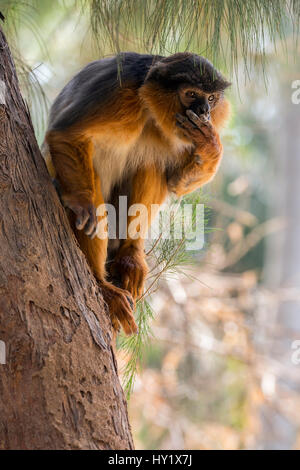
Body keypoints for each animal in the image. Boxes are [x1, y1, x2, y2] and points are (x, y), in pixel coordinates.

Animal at [44, 52, 232, 334]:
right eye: (191, 94)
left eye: (210, 98)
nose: (204, 111)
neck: (148, 108)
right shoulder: (117, 90)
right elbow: (66, 134)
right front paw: (82, 202)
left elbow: (176, 182)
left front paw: (209, 145)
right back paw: (100, 284)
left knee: (151, 164)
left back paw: (130, 254)